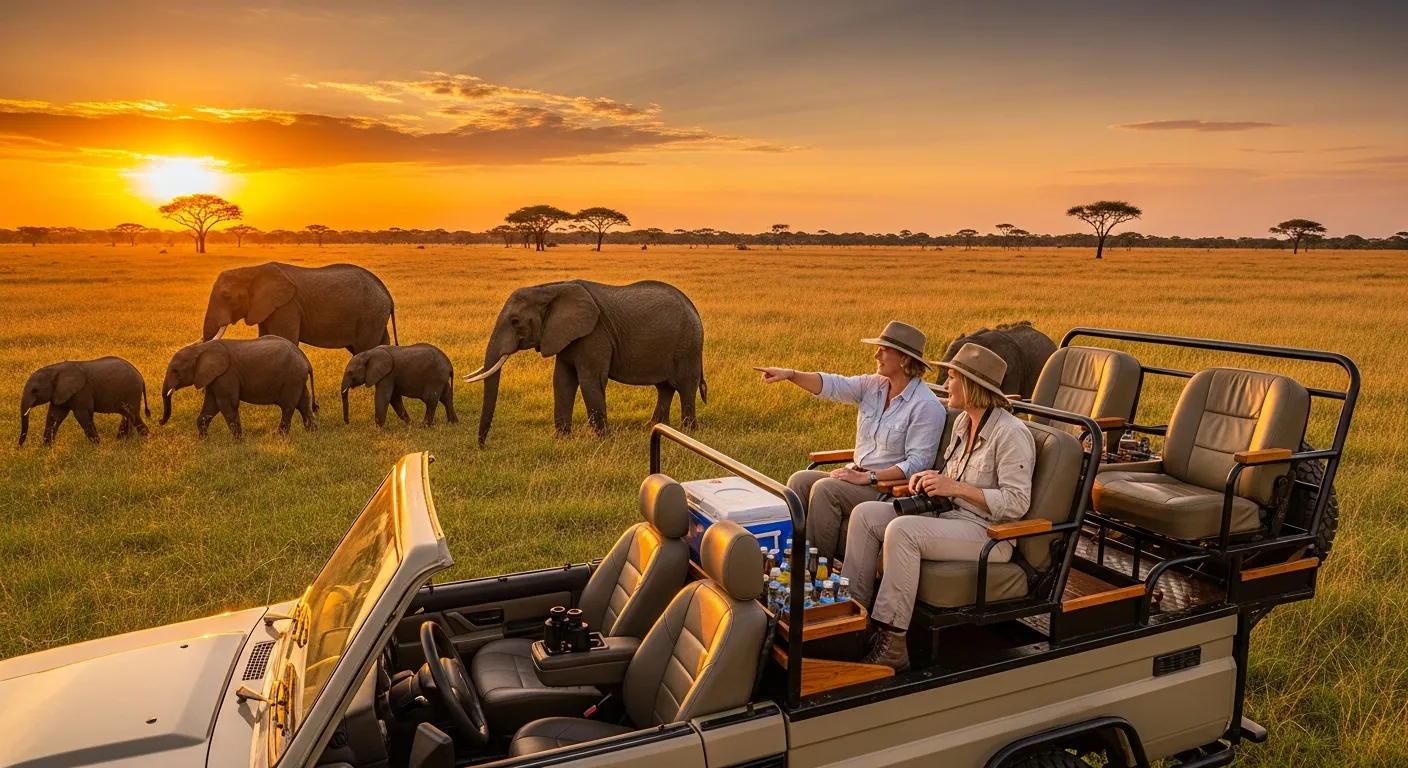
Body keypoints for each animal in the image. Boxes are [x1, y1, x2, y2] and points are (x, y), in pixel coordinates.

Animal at [18, 357, 150, 446]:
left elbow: (83, 415)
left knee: (133, 415)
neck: (54, 369)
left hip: (132, 392)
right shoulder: (60, 393)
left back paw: (146, 439)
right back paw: (121, 441)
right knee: (127, 416)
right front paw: (46, 448)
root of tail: (140, 376)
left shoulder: (82, 391)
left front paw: (97, 446)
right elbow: (54, 416)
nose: (18, 447)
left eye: (34, 390)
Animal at [159, 336, 318, 438]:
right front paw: (204, 439)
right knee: (303, 403)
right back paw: (312, 433)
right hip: (297, 379)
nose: (159, 422)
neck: (200, 349)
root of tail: (306, 361)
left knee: (288, 406)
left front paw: (239, 442)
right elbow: (211, 405)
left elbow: (227, 404)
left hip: (291, 378)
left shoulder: (226, 374)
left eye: (176, 371)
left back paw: (279, 437)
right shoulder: (214, 377)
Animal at [200, 262, 398, 354]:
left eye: (227, 297)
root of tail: (388, 295)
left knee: (365, 348)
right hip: (375, 316)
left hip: (370, 315)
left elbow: (286, 339)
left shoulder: (287, 307)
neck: (251, 270)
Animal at [463, 279, 707, 446]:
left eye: (515, 322)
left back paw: (688, 432)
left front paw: (601, 440)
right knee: (664, 388)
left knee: (686, 387)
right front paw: (562, 439)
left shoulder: (593, 334)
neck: (551, 289)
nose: (482, 445)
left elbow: (590, 381)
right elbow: (562, 381)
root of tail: (693, 307)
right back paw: (654, 426)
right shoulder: (563, 335)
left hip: (689, 345)